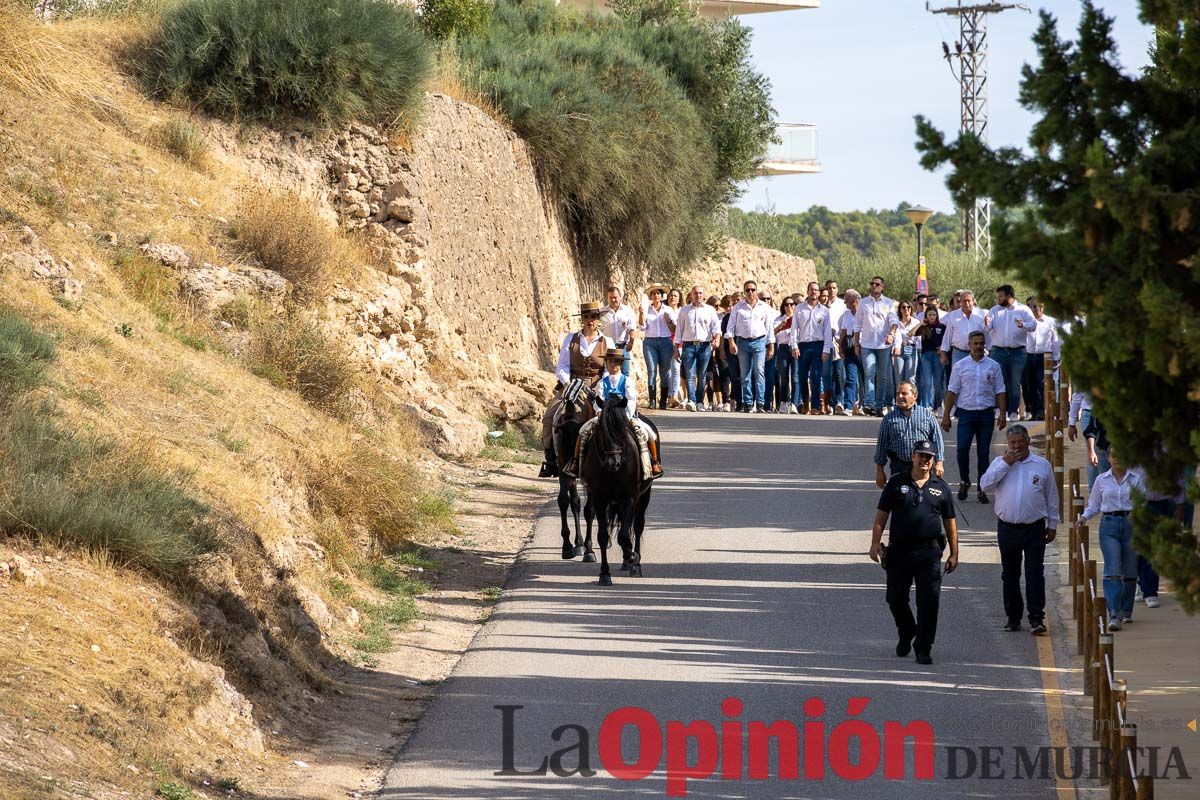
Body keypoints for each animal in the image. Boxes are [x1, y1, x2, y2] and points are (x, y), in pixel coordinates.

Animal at [576, 393, 652, 585]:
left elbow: (625, 535)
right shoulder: (600, 499)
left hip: (644, 496)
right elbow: (603, 536)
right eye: (602, 432)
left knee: (637, 526)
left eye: (622, 431)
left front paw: (632, 557)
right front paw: (604, 573)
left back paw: (635, 563)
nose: (614, 462)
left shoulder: (629, 498)